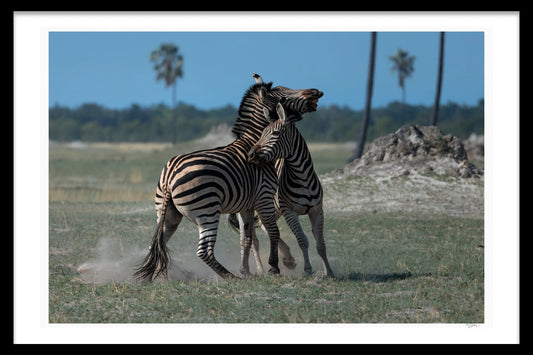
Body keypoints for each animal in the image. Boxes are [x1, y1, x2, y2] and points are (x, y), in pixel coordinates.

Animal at [135, 80, 322, 280]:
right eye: (283, 95)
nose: (316, 92)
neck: (253, 142)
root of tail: (170, 175)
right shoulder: (264, 198)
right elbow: (273, 231)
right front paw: (274, 267)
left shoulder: (247, 205)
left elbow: (247, 238)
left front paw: (247, 271)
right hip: (208, 211)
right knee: (203, 251)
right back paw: (230, 276)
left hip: (167, 214)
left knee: (156, 244)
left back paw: (152, 277)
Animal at [228, 73, 332, 278]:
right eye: (282, 95)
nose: (316, 91)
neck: (303, 176)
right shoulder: (287, 210)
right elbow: (302, 240)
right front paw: (307, 269)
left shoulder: (317, 210)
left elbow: (321, 245)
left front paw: (329, 272)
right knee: (251, 239)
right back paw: (257, 269)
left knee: (264, 230)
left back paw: (284, 260)